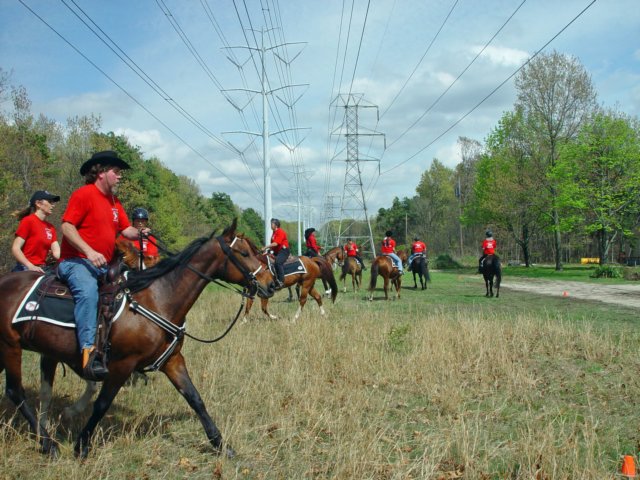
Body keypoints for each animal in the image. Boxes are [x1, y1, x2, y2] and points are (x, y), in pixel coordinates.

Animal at [0, 219, 272, 460]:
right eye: (244, 252)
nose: (271, 284)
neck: (158, 298)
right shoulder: (122, 365)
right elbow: (102, 403)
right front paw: (82, 445)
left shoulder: (172, 360)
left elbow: (195, 399)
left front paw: (221, 444)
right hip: (10, 347)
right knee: (16, 392)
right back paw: (47, 444)